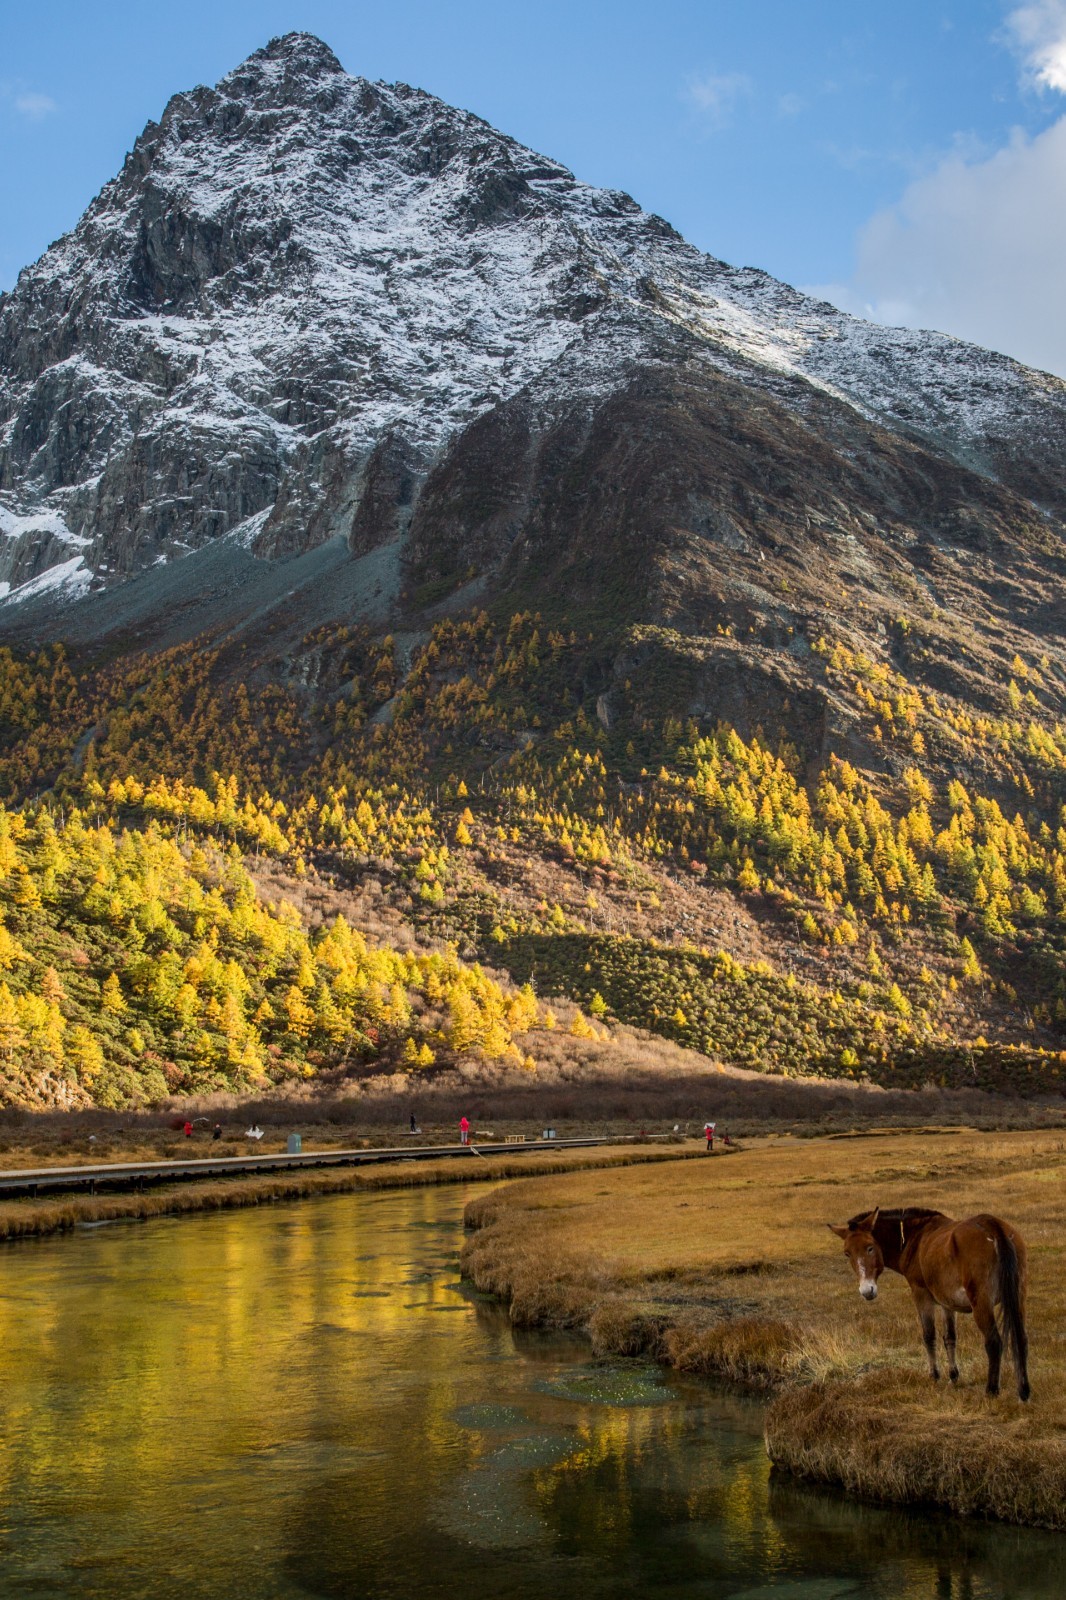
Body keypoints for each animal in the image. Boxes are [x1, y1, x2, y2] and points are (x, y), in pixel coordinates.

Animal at [825, 1203, 1024, 1395]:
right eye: (847, 1253)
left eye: (870, 1248)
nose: (867, 1291)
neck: (914, 1238)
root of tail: (993, 1225)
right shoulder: (946, 1302)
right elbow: (950, 1337)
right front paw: (953, 1376)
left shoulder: (921, 1295)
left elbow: (929, 1335)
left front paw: (934, 1375)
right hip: (1016, 1297)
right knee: (1020, 1337)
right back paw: (1023, 1389)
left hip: (982, 1304)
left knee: (993, 1342)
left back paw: (992, 1390)